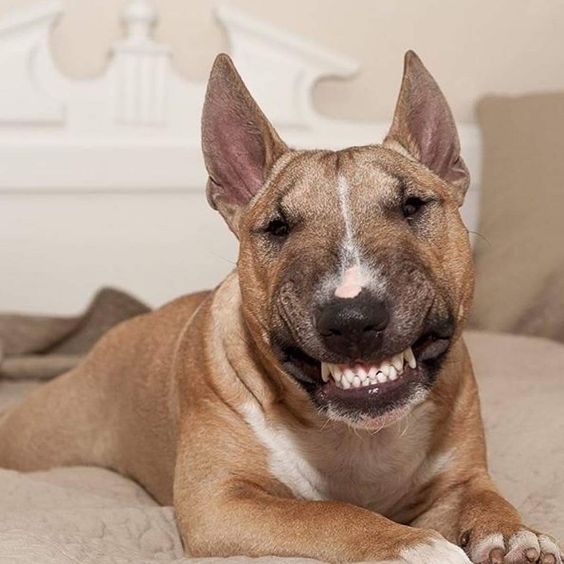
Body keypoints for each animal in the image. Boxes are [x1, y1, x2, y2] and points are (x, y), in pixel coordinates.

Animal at [2, 53, 560, 564]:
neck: (358, 437)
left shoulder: (461, 477)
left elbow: (485, 498)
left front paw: (517, 534)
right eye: (278, 227)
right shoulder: (219, 502)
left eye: (412, 206)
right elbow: (327, 512)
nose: (352, 319)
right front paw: (414, 545)